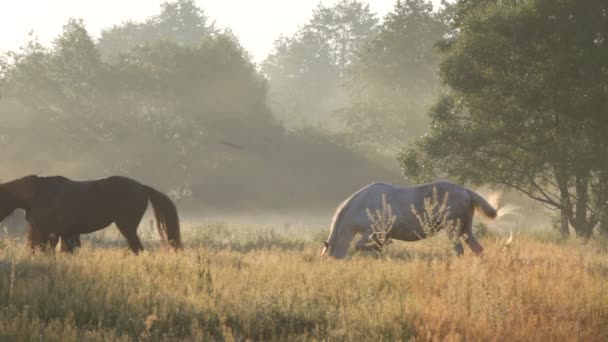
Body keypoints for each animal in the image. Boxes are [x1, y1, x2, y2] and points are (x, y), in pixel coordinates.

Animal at [0, 175, 180, 252]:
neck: (36, 194)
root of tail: (142, 187)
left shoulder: (46, 232)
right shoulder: (64, 234)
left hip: (127, 227)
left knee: (137, 248)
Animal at [320, 182, 496, 260]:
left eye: (331, 256)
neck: (363, 204)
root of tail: (465, 190)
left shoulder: (372, 232)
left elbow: (360, 245)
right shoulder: (377, 234)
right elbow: (375, 248)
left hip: (452, 228)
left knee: (459, 250)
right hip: (466, 229)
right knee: (478, 249)